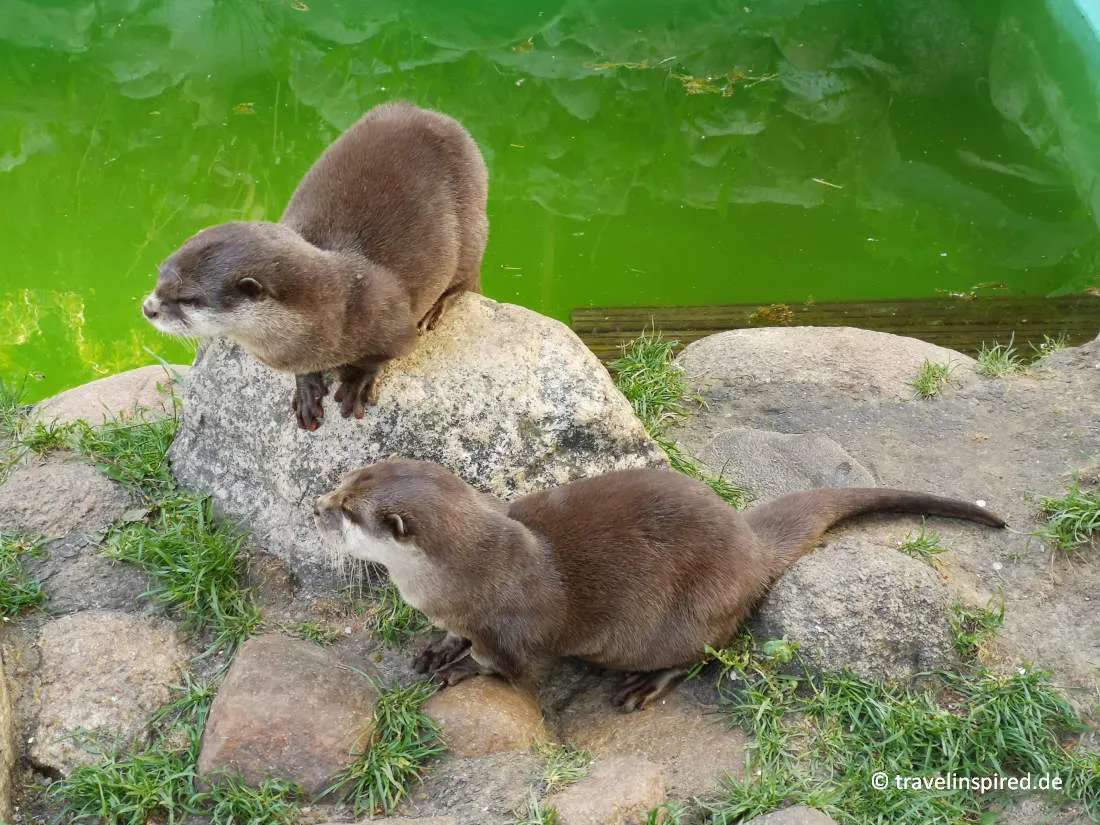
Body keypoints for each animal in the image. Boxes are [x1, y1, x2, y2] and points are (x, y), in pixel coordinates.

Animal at [142, 102, 489, 430]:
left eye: (189, 298)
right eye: (160, 274)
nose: (148, 308)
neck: (335, 313)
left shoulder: (392, 323)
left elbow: (385, 355)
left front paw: (356, 382)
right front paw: (306, 389)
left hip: (472, 224)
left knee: (466, 279)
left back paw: (438, 308)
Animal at [314, 460, 1005, 712]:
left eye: (347, 510)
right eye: (344, 483)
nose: (316, 505)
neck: (460, 575)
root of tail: (749, 546)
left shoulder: (514, 629)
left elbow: (505, 666)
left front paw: (459, 669)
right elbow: (448, 635)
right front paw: (437, 648)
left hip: (688, 618)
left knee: (706, 656)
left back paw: (645, 686)